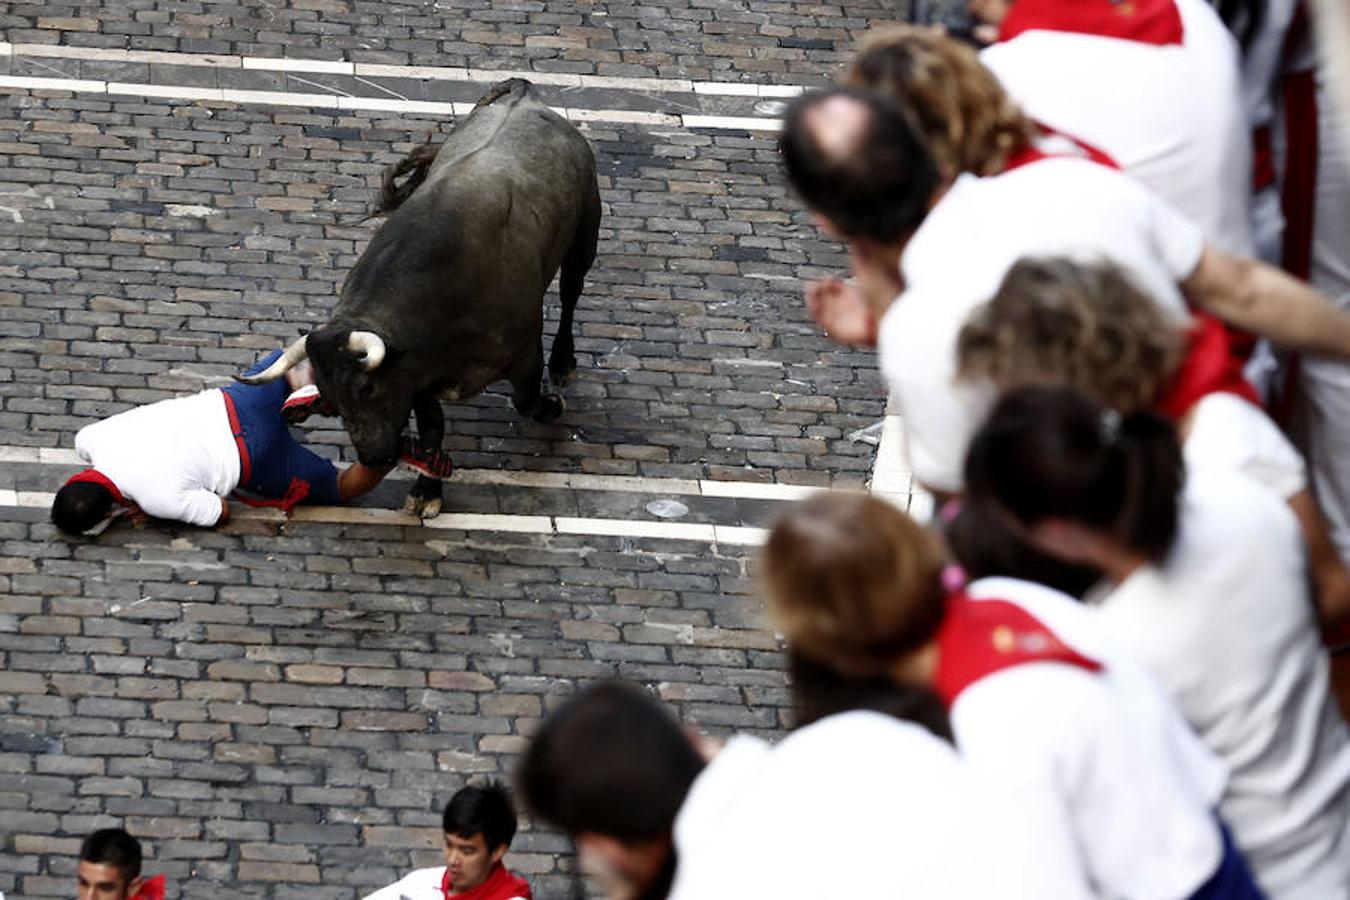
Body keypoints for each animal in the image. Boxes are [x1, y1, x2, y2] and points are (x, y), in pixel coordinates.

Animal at [237, 82, 602, 520]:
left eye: (367, 388)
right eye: (331, 398)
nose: (374, 458)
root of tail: (524, 94)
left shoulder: (524, 349)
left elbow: (526, 401)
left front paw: (552, 404)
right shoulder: (420, 378)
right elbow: (432, 430)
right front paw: (427, 489)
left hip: (585, 234)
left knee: (571, 293)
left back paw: (564, 363)